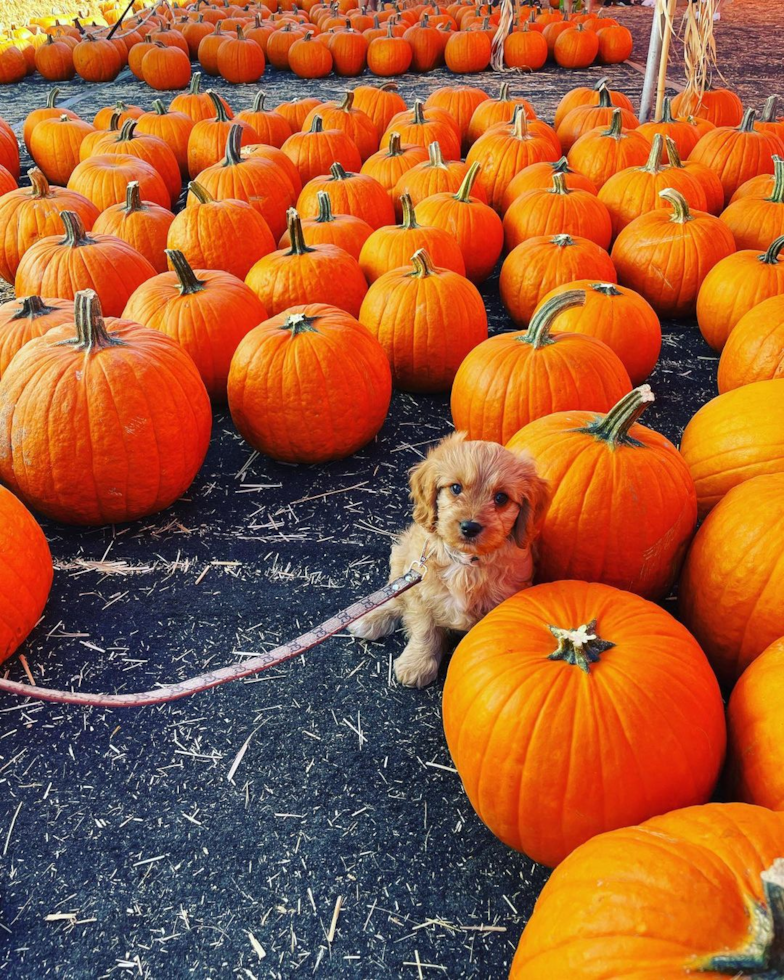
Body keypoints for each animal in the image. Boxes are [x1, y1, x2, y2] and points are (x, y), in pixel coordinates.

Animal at [352, 432, 548, 692]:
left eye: (501, 498)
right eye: (456, 488)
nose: (470, 527)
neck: (465, 563)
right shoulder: (421, 592)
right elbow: (424, 630)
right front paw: (417, 665)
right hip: (403, 556)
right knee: (395, 593)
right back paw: (369, 618)